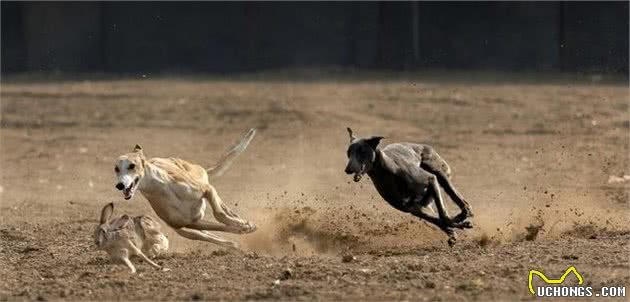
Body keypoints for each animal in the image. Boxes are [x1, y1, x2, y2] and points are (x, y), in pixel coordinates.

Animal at [115, 129, 258, 249]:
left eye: (132, 165)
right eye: (116, 168)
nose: (119, 185)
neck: (161, 189)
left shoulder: (207, 190)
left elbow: (219, 214)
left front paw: (245, 225)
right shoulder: (189, 223)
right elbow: (221, 227)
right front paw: (242, 229)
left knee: (223, 210)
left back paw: (238, 222)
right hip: (186, 229)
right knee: (207, 235)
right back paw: (232, 243)